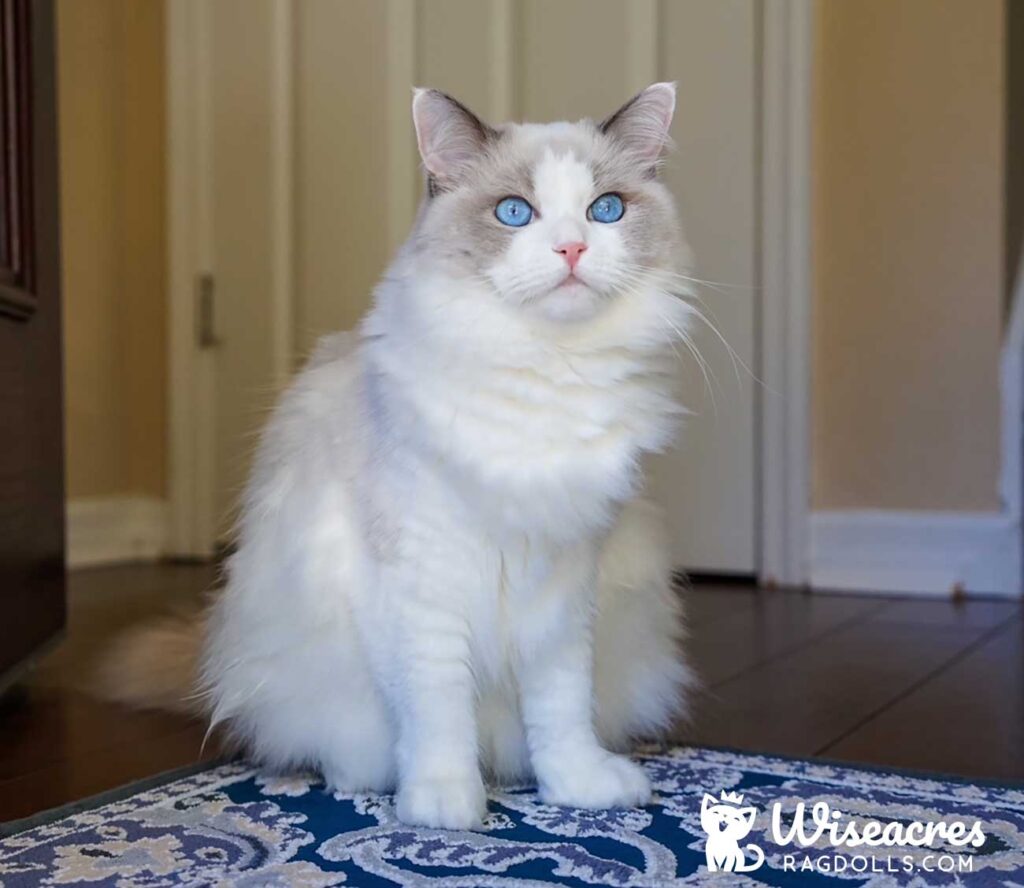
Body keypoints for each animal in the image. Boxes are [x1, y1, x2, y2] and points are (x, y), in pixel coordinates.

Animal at [101, 85, 696, 831]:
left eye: (606, 209)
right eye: (514, 213)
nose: (572, 247)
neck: (545, 371)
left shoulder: (563, 588)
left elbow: (561, 710)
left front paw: (576, 790)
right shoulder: (420, 585)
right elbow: (437, 710)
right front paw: (446, 808)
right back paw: (361, 779)